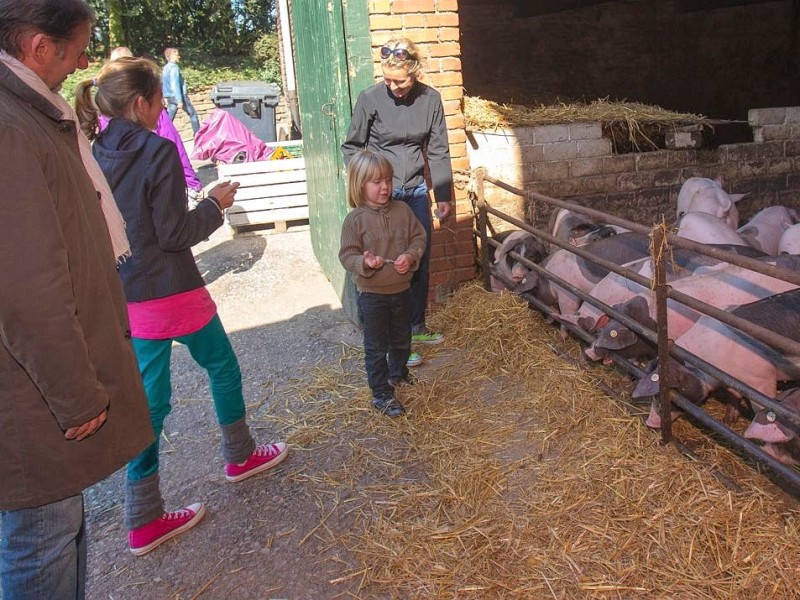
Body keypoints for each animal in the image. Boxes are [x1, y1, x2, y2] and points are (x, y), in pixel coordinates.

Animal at [636, 288, 800, 428]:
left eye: (669, 395)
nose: (650, 423)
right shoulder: (733, 380)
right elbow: (734, 394)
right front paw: (728, 421)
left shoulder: (762, 378)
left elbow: (762, 409)